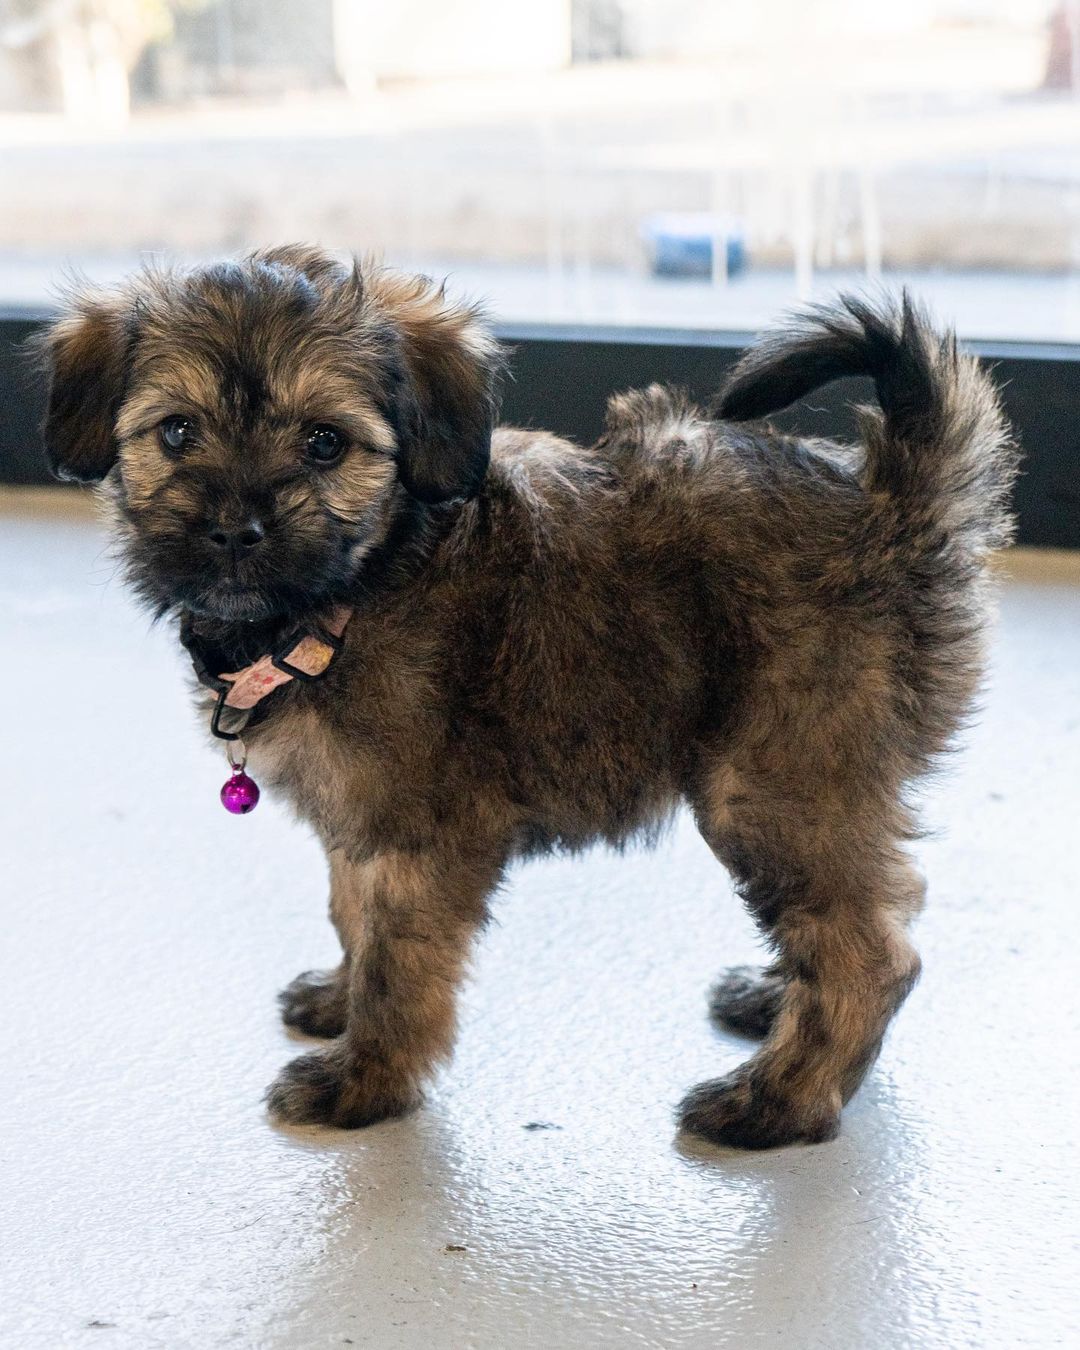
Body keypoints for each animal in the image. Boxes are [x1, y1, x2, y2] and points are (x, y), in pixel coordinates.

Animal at [33, 248, 1015, 1144]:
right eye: (177, 433)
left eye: (323, 442)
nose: (237, 529)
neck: (349, 592)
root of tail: (893, 504)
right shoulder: (359, 822)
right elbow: (351, 915)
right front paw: (338, 1002)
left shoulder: (421, 837)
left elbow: (397, 962)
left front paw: (365, 1079)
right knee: (861, 909)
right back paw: (772, 997)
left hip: (770, 783)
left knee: (869, 952)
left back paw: (775, 1101)